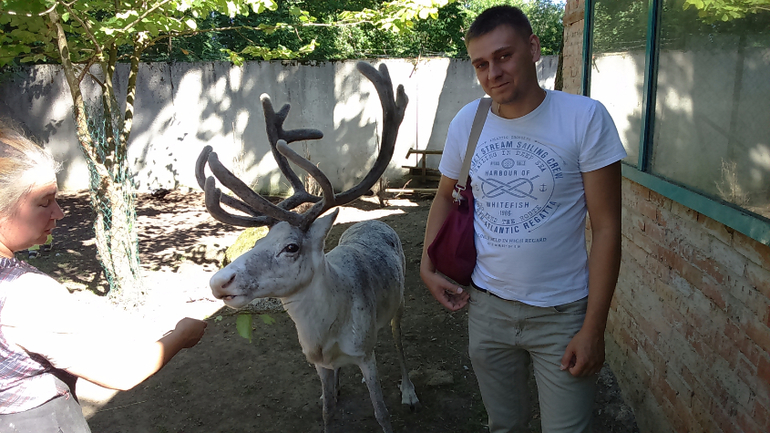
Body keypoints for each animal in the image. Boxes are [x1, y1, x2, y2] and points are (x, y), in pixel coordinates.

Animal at [195, 62, 418, 433]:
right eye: (260, 240)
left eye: (291, 247)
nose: (219, 281)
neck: (325, 334)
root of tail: (372, 221)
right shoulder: (317, 362)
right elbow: (327, 410)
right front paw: (331, 400)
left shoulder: (364, 352)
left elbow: (381, 412)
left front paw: (394, 402)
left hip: (399, 302)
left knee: (398, 338)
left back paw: (409, 390)